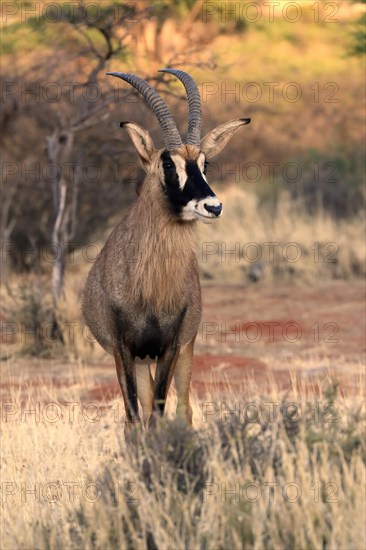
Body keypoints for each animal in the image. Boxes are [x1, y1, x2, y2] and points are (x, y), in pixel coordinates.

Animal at [81, 69, 250, 434]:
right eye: (168, 164)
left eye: (204, 163)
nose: (213, 206)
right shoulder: (122, 350)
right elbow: (134, 418)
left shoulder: (172, 345)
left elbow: (160, 413)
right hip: (142, 360)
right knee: (142, 412)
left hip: (183, 350)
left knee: (183, 409)